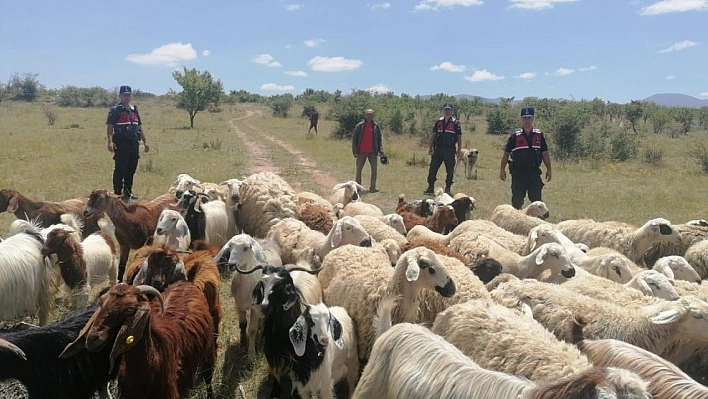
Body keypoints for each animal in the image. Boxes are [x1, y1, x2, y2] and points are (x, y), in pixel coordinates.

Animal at [60, 282, 216, 399]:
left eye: (130, 309)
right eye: (101, 303)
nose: (92, 339)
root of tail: (186, 283)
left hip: (209, 351)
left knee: (208, 378)